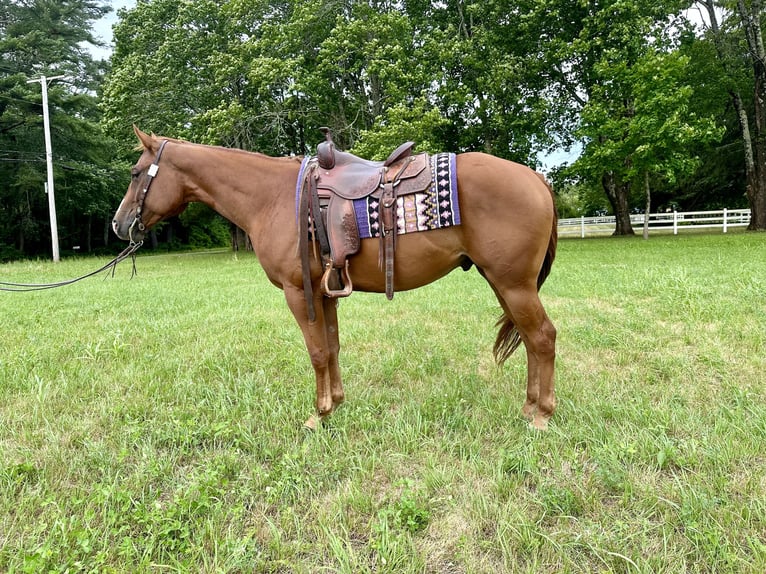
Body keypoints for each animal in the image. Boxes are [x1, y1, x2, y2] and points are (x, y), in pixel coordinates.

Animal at [112, 127, 560, 432]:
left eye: (135, 173)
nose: (118, 224)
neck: (272, 197)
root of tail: (537, 178)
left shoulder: (299, 293)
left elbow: (316, 353)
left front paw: (319, 413)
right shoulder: (325, 294)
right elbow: (332, 347)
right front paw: (337, 404)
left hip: (514, 284)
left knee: (542, 337)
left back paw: (542, 414)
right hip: (503, 283)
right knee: (529, 340)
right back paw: (528, 406)